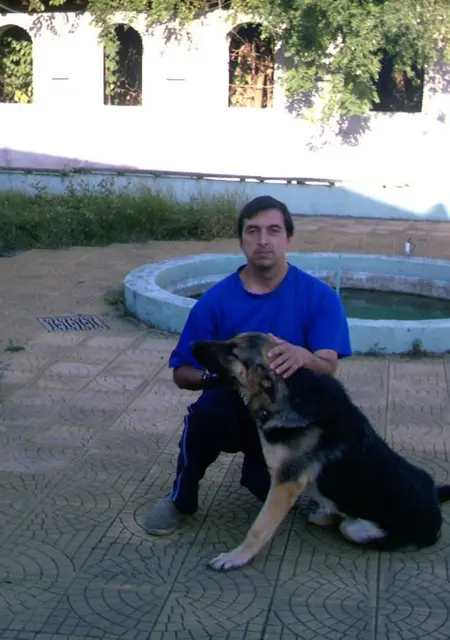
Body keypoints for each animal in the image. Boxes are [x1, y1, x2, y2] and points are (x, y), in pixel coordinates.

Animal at [191, 332, 450, 571]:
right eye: (230, 339)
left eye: (233, 351)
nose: (192, 343)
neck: (287, 395)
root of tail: (435, 500)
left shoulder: (286, 483)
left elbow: (259, 528)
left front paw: (237, 557)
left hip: (356, 529)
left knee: (345, 524)